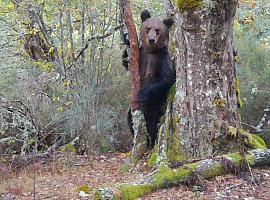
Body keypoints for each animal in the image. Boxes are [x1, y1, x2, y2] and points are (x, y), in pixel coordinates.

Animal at [124, 9, 175, 148]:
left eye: (157, 30)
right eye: (148, 28)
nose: (151, 40)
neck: (151, 51)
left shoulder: (162, 59)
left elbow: (165, 79)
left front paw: (140, 94)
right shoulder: (141, 56)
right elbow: (126, 63)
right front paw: (127, 40)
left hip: (157, 105)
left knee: (153, 124)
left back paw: (150, 142)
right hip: (135, 110)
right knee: (129, 118)